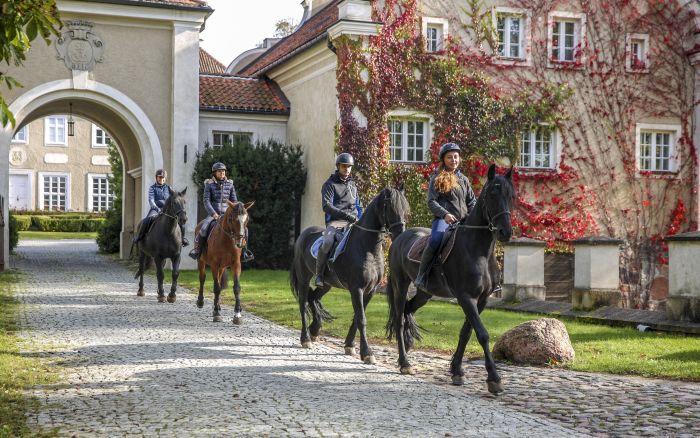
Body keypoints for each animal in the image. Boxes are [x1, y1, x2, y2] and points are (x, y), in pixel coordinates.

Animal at [290, 186, 410, 364]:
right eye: (390, 207)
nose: (401, 233)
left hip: (326, 284)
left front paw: (350, 345)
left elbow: (357, 317)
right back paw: (306, 338)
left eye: (405, 208)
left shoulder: (370, 290)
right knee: (303, 302)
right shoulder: (357, 289)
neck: (367, 247)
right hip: (304, 278)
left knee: (313, 297)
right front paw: (367, 353)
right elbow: (361, 319)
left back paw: (315, 329)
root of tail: (303, 235)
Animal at [386, 165, 512, 396]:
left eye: (511, 196)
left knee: (408, 310)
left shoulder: (481, 300)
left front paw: (456, 370)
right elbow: (482, 334)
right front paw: (494, 378)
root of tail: (399, 237)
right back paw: (404, 362)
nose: (505, 232)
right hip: (400, 285)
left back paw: (408, 346)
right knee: (399, 318)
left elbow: (466, 332)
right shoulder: (465, 297)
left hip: (424, 293)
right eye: (492, 194)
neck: (478, 250)